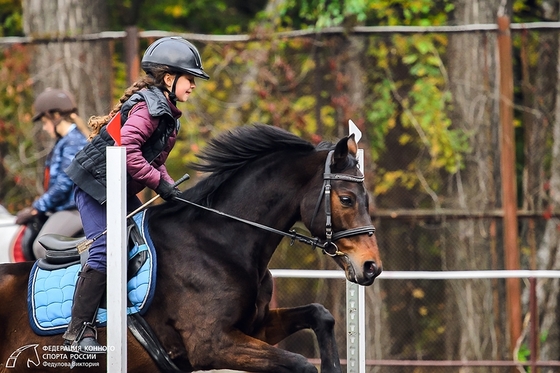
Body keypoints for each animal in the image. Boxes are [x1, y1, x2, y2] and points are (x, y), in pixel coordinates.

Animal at [0, 123, 380, 370]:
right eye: (347, 199)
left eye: (366, 199)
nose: (371, 266)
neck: (221, 244)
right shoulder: (212, 345)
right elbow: (302, 363)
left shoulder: (254, 329)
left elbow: (320, 315)